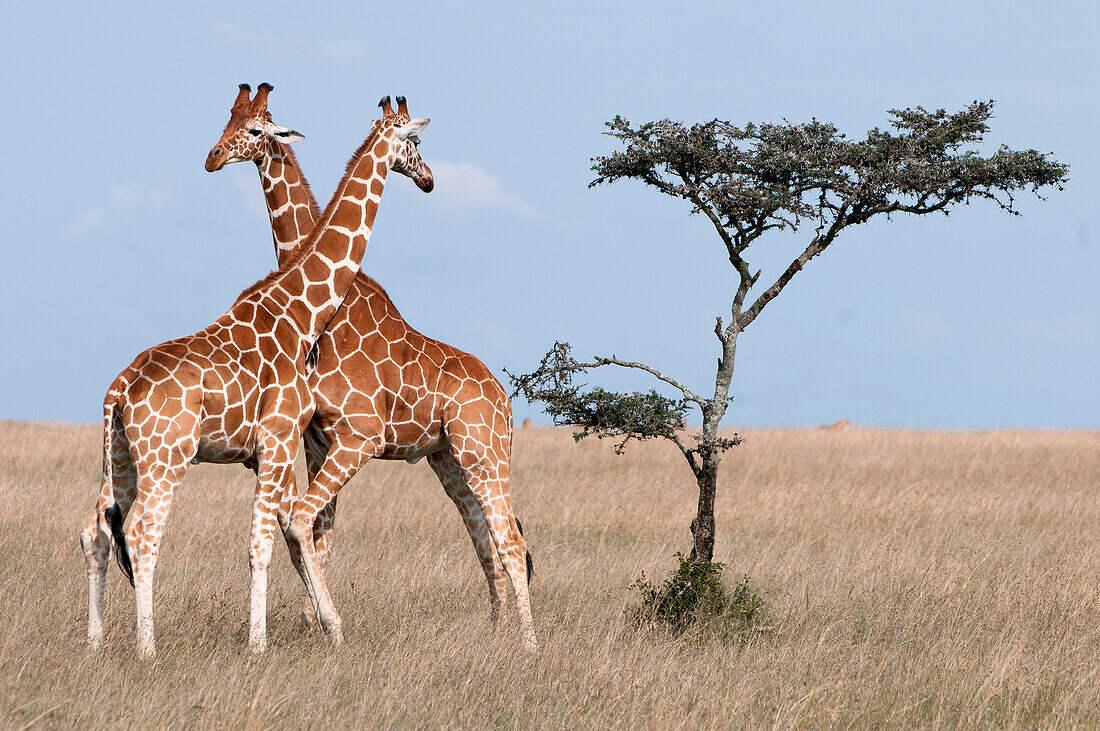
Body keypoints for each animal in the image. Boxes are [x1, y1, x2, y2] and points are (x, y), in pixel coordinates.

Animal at [76, 92, 429, 655]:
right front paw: (261, 642)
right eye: (413, 140)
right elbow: (266, 541)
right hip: (165, 459)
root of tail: (119, 391)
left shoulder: (272, 451)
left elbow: (287, 536)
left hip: (120, 459)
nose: (429, 177)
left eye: (253, 127)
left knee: (97, 532)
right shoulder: (279, 440)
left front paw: (318, 626)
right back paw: (146, 647)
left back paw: (95, 642)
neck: (302, 313)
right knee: (142, 537)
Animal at [206, 84, 536, 650]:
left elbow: (309, 533)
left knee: (510, 544)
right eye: (225, 120)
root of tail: (505, 401)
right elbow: (316, 538)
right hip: (450, 461)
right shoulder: (317, 442)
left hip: (486, 456)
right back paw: (498, 636)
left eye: (252, 128)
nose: (428, 177)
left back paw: (529, 647)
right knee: (485, 542)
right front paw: (314, 627)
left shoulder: (356, 437)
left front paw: (321, 628)